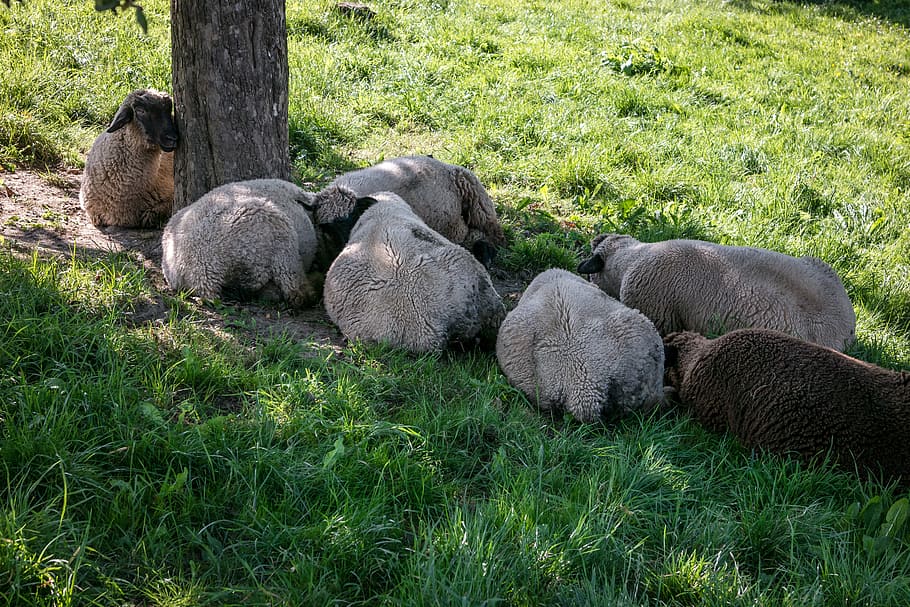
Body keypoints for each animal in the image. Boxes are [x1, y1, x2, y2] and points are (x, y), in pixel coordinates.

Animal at [317, 155, 507, 267]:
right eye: (328, 229)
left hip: (473, 207)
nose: (344, 245)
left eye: (354, 216)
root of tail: (440, 163)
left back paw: (486, 254)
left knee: (491, 235)